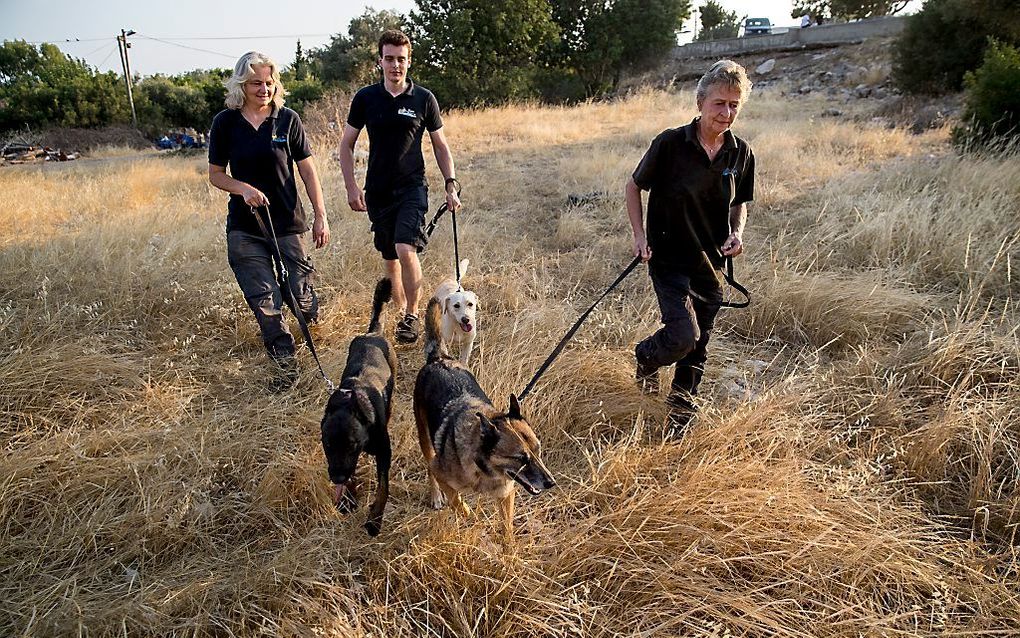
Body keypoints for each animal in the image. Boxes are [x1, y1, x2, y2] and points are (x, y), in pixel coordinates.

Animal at [320, 277, 395, 530]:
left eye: (352, 445)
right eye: (327, 445)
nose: (337, 478)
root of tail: (372, 333)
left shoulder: (384, 452)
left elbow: (383, 487)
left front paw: (374, 520)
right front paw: (349, 500)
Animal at [412, 296, 558, 534]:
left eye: (538, 450)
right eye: (520, 458)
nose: (551, 483)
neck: (485, 467)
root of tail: (439, 358)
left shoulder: (506, 494)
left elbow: (507, 530)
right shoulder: (441, 471)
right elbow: (456, 501)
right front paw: (467, 515)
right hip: (424, 438)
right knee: (428, 465)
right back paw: (435, 496)